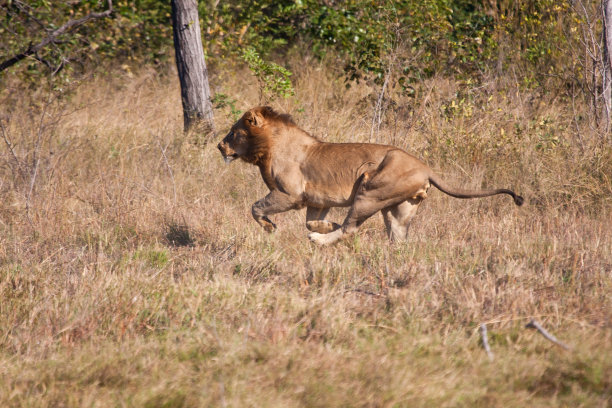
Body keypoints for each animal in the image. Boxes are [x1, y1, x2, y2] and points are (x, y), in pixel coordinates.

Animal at [215, 106, 520, 245]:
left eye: (233, 132)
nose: (219, 146)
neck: (266, 147)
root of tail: (427, 169)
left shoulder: (290, 195)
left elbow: (256, 207)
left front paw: (271, 228)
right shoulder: (316, 200)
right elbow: (311, 221)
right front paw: (326, 225)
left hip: (369, 192)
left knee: (351, 229)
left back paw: (320, 241)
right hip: (399, 208)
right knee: (398, 239)